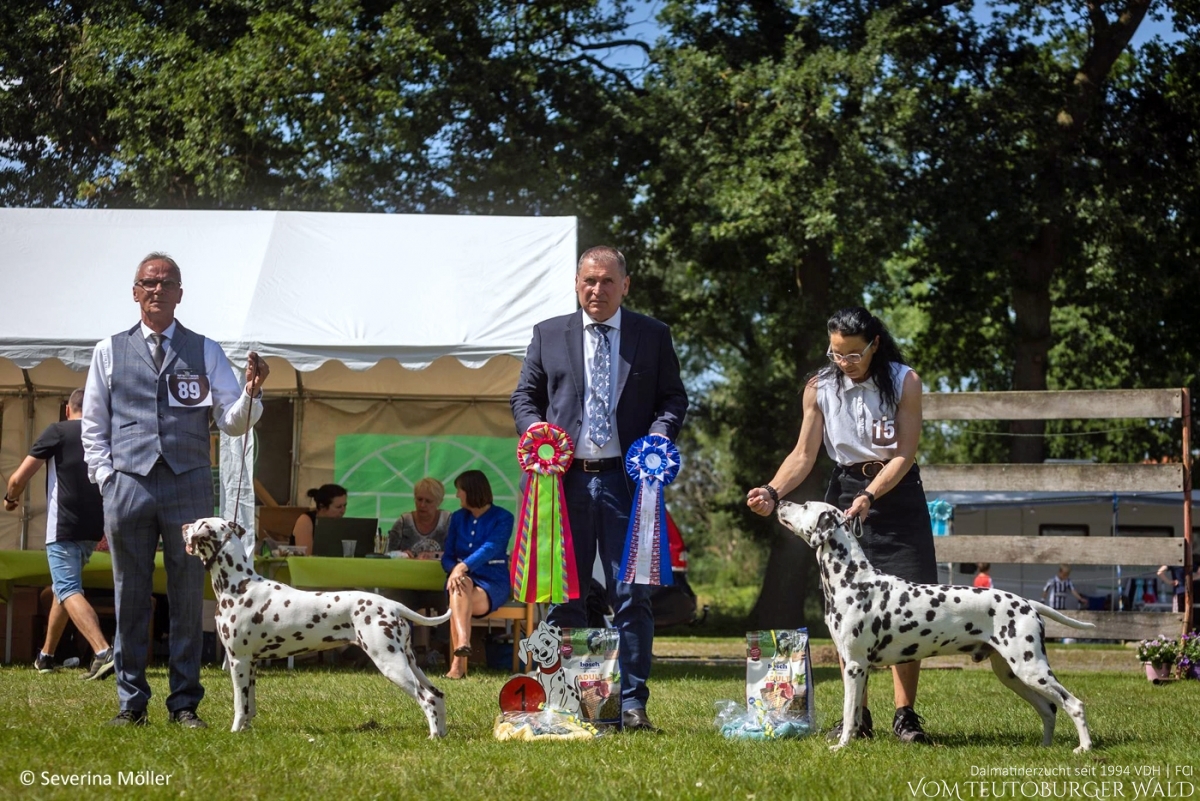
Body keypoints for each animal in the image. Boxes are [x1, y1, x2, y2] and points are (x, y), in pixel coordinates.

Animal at [182, 515, 451, 733]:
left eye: (196, 523)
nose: (182, 526)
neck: (239, 585)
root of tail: (392, 604)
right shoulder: (252, 664)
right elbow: (250, 706)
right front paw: (247, 730)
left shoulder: (239, 660)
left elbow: (240, 705)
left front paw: (235, 732)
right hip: (409, 661)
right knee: (437, 695)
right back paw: (440, 735)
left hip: (391, 662)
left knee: (426, 698)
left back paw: (432, 735)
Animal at [777, 501, 1099, 753]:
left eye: (805, 505)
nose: (780, 502)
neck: (853, 579)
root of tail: (1028, 603)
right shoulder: (856, 666)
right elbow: (854, 713)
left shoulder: (855, 666)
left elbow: (848, 712)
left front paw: (842, 746)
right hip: (1012, 674)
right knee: (1049, 708)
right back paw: (1045, 747)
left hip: (1031, 668)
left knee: (1074, 704)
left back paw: (1084, 747)